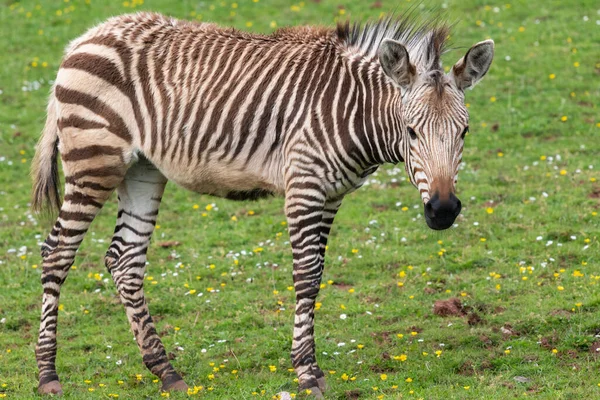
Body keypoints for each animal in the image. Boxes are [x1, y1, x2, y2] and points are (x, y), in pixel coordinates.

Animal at [30, 11, 494, 396]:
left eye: (465, 132)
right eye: (412, 131)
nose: (443, 211)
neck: (352, 112)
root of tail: (88, 36)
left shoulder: (330, 196)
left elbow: (317, 275)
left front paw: (310, 367)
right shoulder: (304, 187)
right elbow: (306, 276)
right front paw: (307, 373)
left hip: (142, 170)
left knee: (124, 259)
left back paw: (165, 371)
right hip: (95, 161)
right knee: (57, 252)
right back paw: (48, 374)